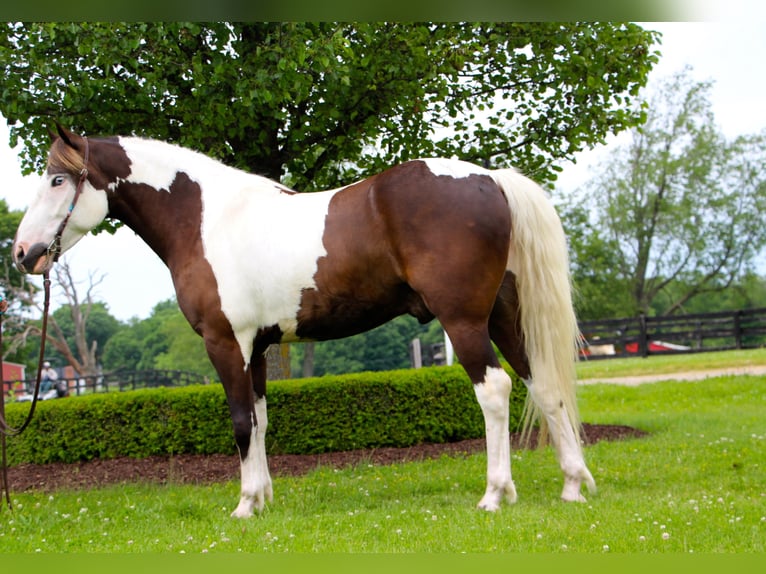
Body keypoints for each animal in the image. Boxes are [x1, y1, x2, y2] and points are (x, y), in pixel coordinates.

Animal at [13, 127, 600, 520]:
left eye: (57, 179)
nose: (22, 253)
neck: (206, 219)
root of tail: (491, 179)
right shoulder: (256, 348)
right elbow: (261, 420)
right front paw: (263, 499)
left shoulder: (225, 343)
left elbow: (240, 422)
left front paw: (244, 506)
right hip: (505, 316)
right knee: (544, 387)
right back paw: (573, 485)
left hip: (465, 321)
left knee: (495, 390)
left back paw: (496, 494)